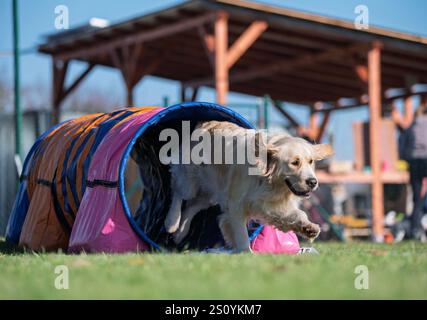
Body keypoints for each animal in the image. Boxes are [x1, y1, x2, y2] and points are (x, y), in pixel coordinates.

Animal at [165, 120, 334, 252]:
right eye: (294, 162)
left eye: (311, 161)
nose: (313, 182)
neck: (267, 180)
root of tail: (204, 123)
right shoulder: (236, 205)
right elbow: (241, 235)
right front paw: (246, 254)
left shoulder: (269, 204)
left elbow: (297, 214)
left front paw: (309, 227)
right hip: (189, 180)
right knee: (178, 193)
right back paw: (171, 223)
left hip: (210, 195)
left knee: (192, 206)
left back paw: (180, 233)